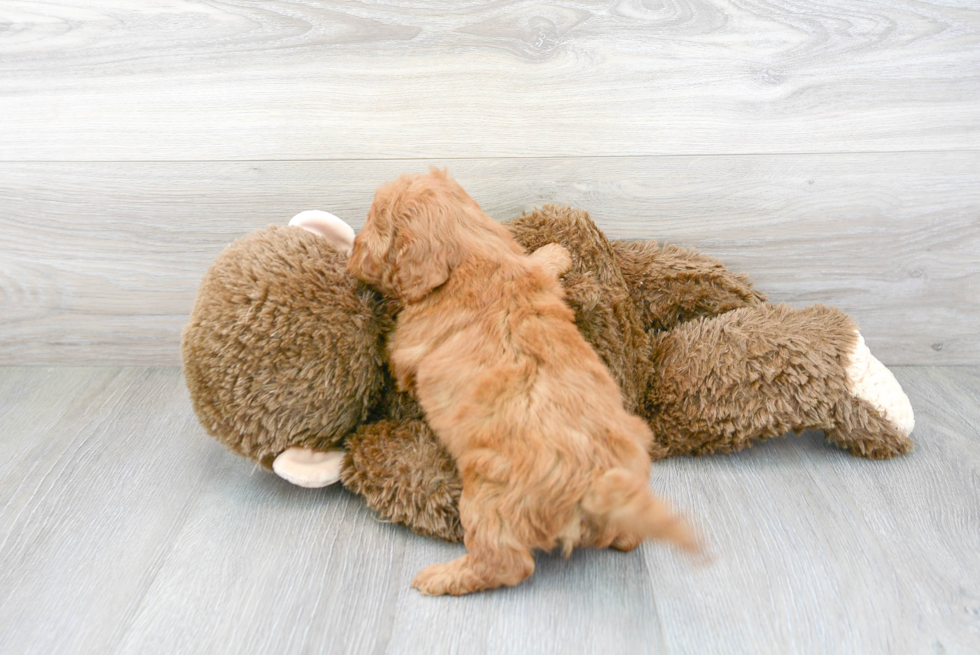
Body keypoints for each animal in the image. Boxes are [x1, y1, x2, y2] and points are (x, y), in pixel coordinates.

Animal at [346, 170, 696, 600]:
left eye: (376, 224)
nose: (351, 252)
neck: (474, 252)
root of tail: (596, 482)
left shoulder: (406, 347)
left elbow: (393, 354)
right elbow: (540, 265)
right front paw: (556, 252)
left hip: (488, 496)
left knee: (507, 563)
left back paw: (440, 578)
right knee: (626, 537)